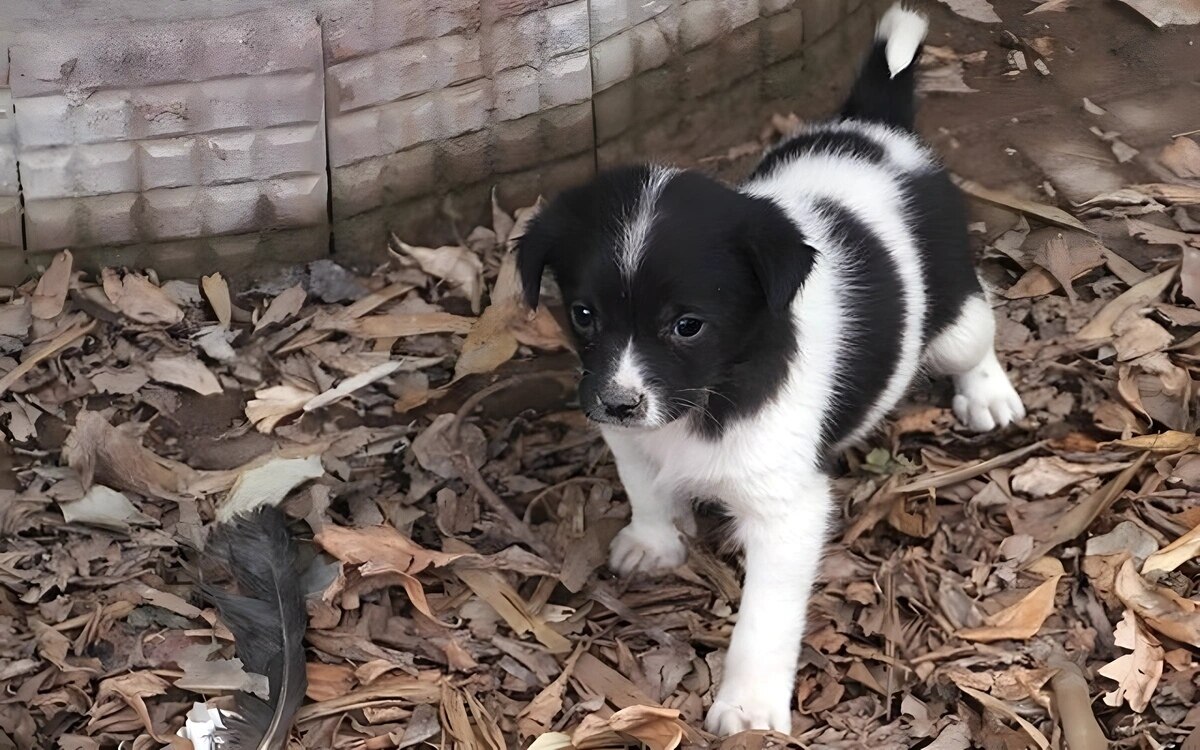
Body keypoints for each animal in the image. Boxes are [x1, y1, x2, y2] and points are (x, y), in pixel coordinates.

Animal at [516, 2, 1022, 734]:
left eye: (688, 325)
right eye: (583, 315)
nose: (618, 403)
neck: (712, 393)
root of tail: (876, 129)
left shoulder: (789, 513)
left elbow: (764, 620)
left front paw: (750, 705)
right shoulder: (630, 438)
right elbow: (645, 486)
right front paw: (655, 541)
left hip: (953, 313)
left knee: (976, 335)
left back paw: (987, 394)